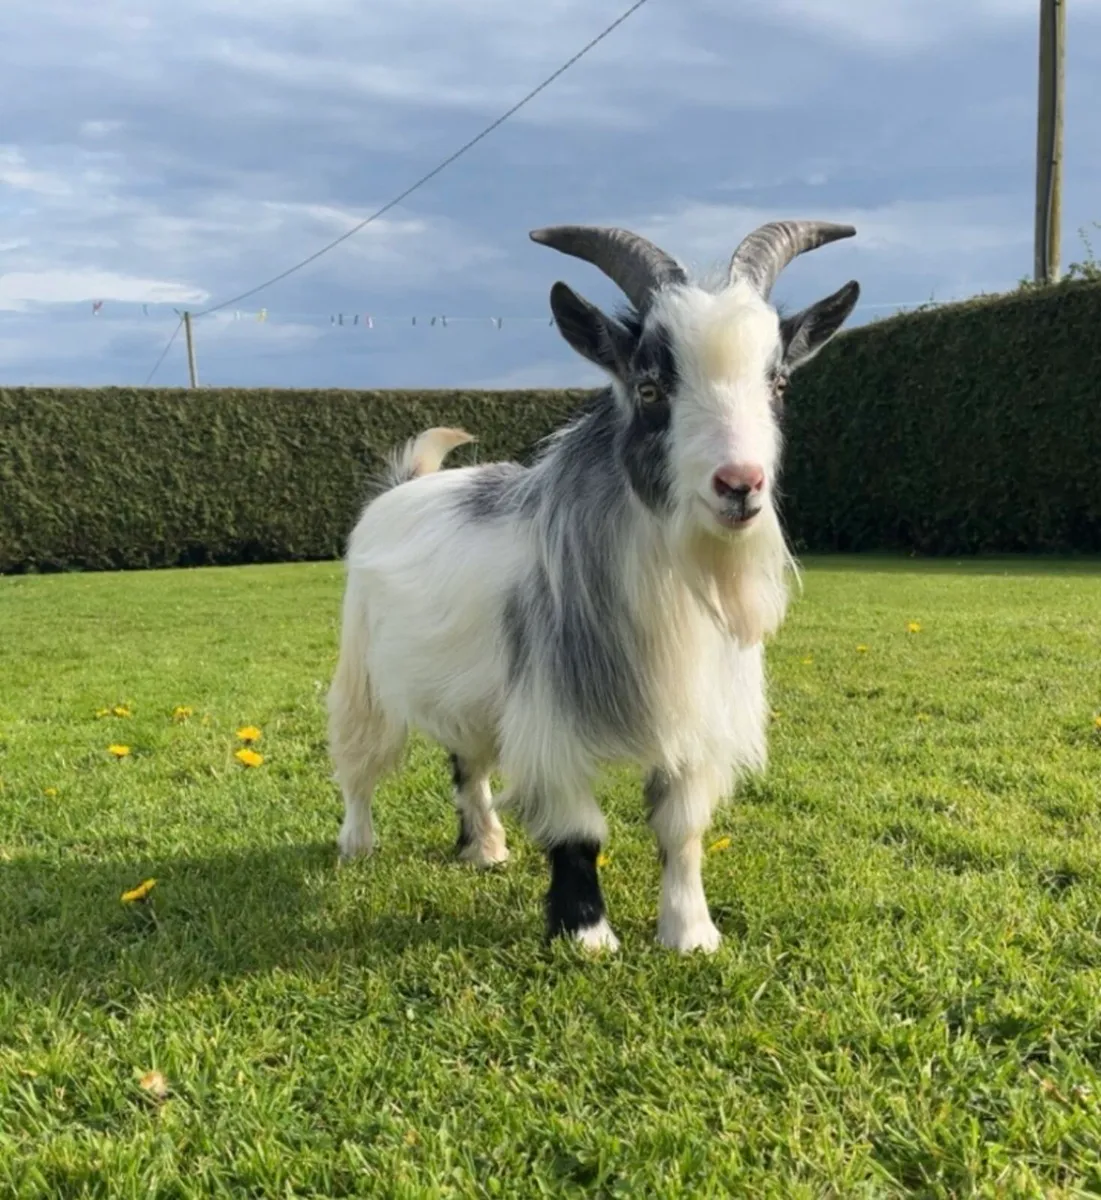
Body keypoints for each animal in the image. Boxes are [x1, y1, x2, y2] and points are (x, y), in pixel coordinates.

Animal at [327, 219, 860, 953]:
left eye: (778, 384)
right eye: (649, 387)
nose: (739, 485)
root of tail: (408, 484)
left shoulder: (692, 719)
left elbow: (681, 829)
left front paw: (691, 934)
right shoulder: (552, 715)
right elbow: (579, 831)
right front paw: (586, 936)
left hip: (474, 695)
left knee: (469, 763)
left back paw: (485, 847)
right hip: (364, 673)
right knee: (360, 759)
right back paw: (357, 844)